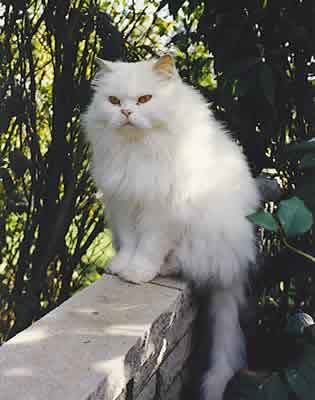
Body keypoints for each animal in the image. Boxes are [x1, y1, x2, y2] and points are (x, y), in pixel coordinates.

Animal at [82, 54, 262, 400]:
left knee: (186, 266)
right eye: (114, 101)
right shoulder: (123, 204)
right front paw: (119, 267)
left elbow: (147, 248)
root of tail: (238, 267)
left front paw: (136, 274)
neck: (138, 150)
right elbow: (129, 243)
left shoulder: (160, 213)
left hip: (206, 238)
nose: (126, 113)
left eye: (144, 99)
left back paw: (162, 268)